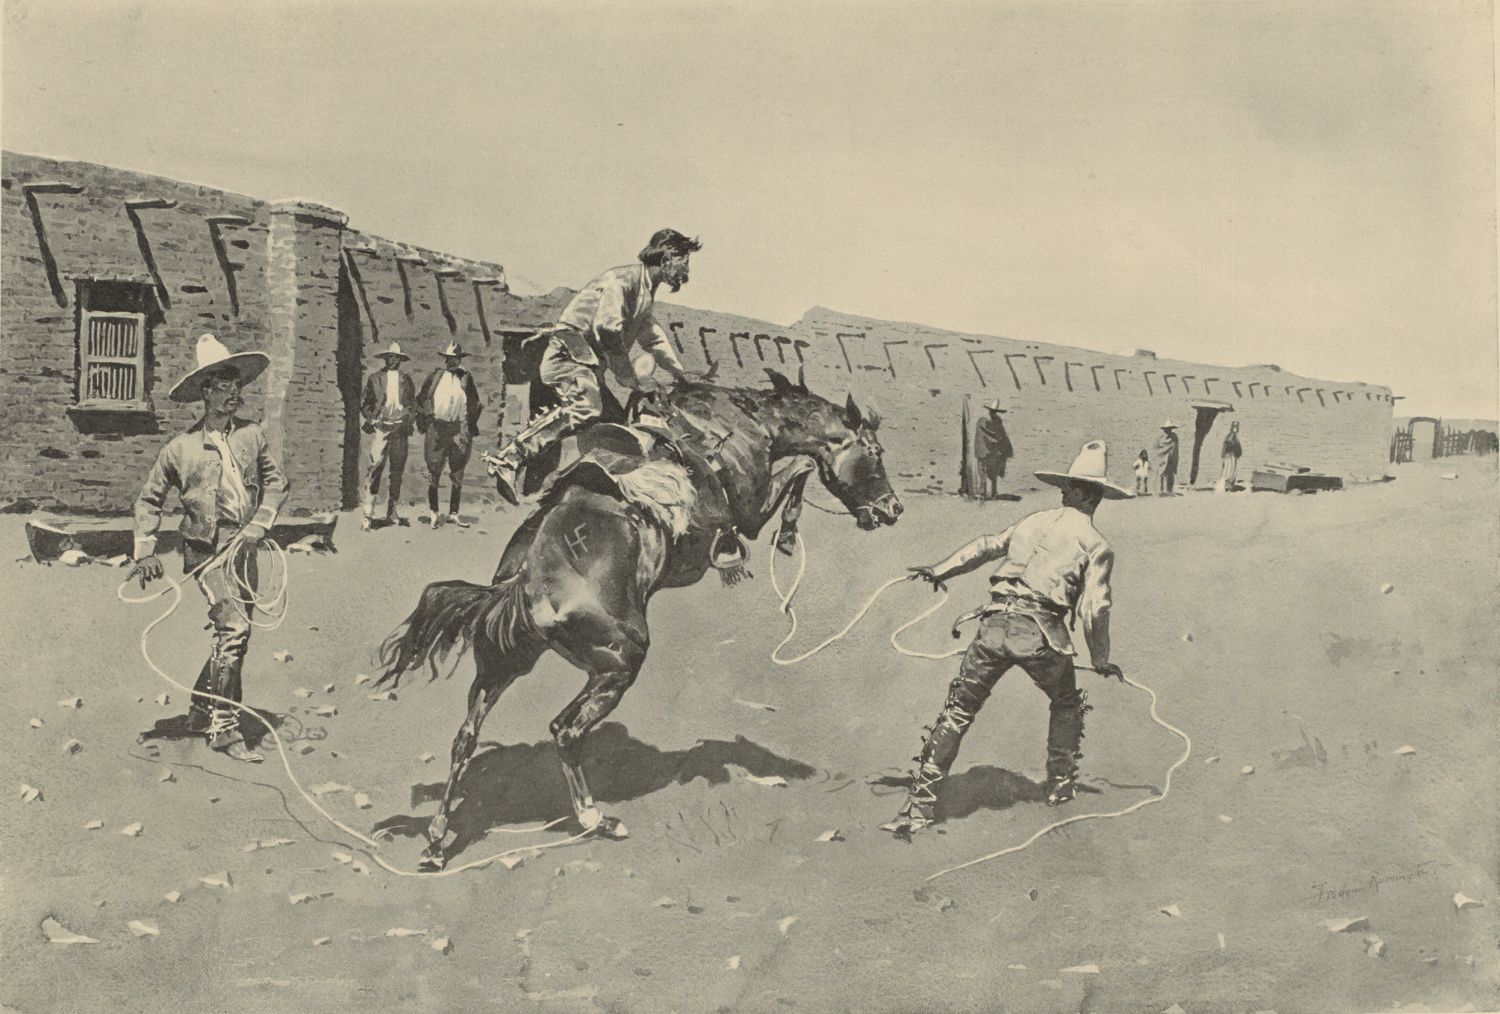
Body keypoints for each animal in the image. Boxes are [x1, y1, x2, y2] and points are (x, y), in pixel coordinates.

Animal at [376, 368, 903, 870]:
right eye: (875, 453)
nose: (893, 509)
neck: (741, 427)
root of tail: (524, 586)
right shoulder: (749, 511)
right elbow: (799, 470)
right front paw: (788, 533)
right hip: (618, 663)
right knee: (564, 731)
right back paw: (596, 819)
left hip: (502, 663)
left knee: (465, 739)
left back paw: (436, 843)